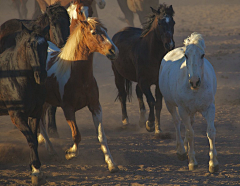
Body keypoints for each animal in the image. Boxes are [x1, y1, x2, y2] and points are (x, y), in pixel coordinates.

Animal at [0, 24, 48, 185]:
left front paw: (36, 170)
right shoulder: (17, 116)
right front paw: (36, 168)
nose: (41, 76)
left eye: (46, 45)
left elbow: (34, 139)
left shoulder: (35, 113)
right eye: (29, 45)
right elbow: (31, 139)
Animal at [39, 17, 119, 173]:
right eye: (94, 32)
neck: (78, 76)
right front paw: (70, 153)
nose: (113, 51)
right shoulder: (68, 110)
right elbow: (77, 136)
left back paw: (47, 146)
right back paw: (51, 149)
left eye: (105, 30)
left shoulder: (95, 106)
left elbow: (101, 137)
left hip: (45, 101)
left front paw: (111, 163)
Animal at [111, 4, 175, 137]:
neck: (152, 54)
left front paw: (158, 129)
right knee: (123, 95)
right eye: (160, 23)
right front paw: (150, 124)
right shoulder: (144, 82)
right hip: (118, 74)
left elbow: (158, 104)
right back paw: (125, 121)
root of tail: (120, 32)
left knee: (137, 91)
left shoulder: (157, 83)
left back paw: (141, 120)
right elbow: (151, 101)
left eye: (173, 23)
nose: (170, 45)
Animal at [159, 32, 219, 173]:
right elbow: (191, 133)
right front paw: (192, 161)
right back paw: (181, 150)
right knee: (177, 123)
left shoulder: (210, 108)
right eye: (186, 55)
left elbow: (210, 132)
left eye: (202, 55)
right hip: (170, 104)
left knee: (189, 125)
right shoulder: (183, 110)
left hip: (192, 111)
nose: (194, 81)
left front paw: (213, 163)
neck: (196, 90)